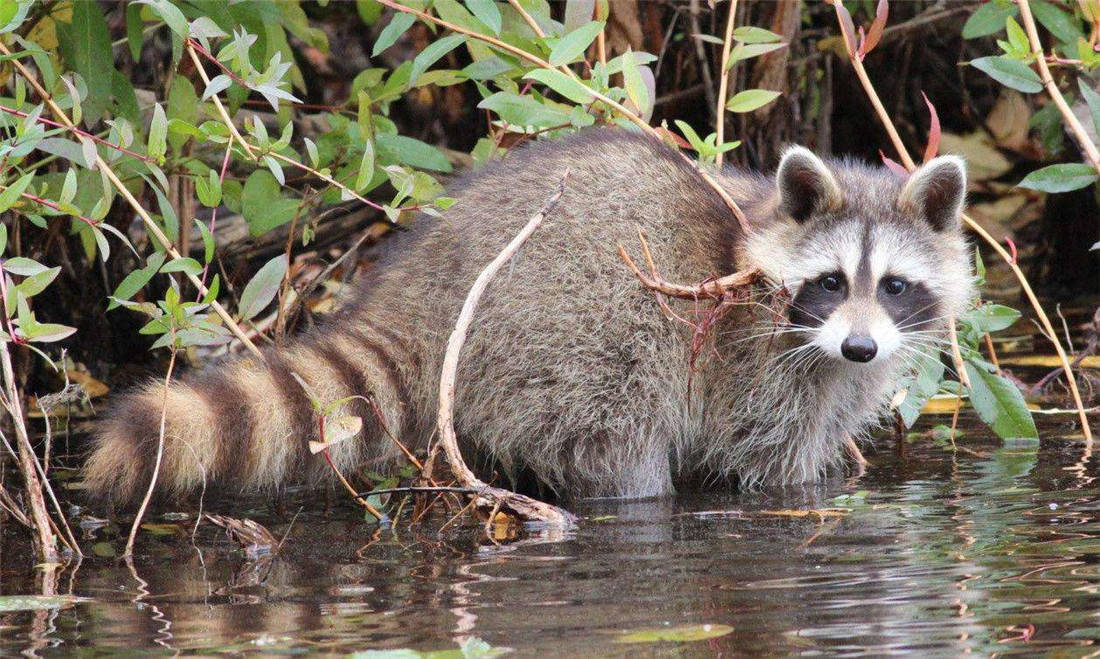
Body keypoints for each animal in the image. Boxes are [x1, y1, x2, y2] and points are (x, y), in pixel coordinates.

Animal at [83, 130, 972, 506]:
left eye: (895, 286)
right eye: (830, 281)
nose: (860, 347)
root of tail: (429, 280)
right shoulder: (753, 361)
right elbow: (769, 462)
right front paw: (808, 489)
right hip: (572, 333)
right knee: (619, 444)